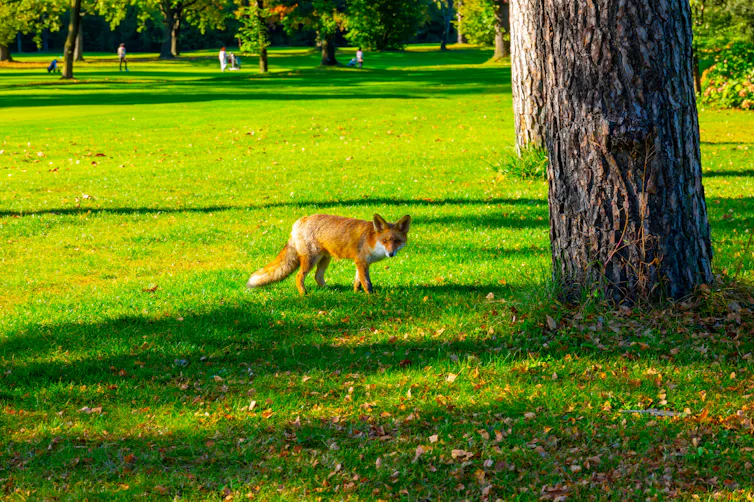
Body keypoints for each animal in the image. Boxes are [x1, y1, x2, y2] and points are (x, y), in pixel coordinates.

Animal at [246, 213, 411, 295]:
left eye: (397, 241)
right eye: (385, 240)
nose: (391, 253)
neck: (371, 240)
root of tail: (300, 220)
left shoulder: (361, 262)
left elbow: (357, 281)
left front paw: (356, 293)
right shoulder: (361, 262)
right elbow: (366, 282)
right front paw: (370, 296)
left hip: (325, 259)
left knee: (317, 277)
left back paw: (330, 290)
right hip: (311, 259)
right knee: (299, 276)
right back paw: (304, 293)